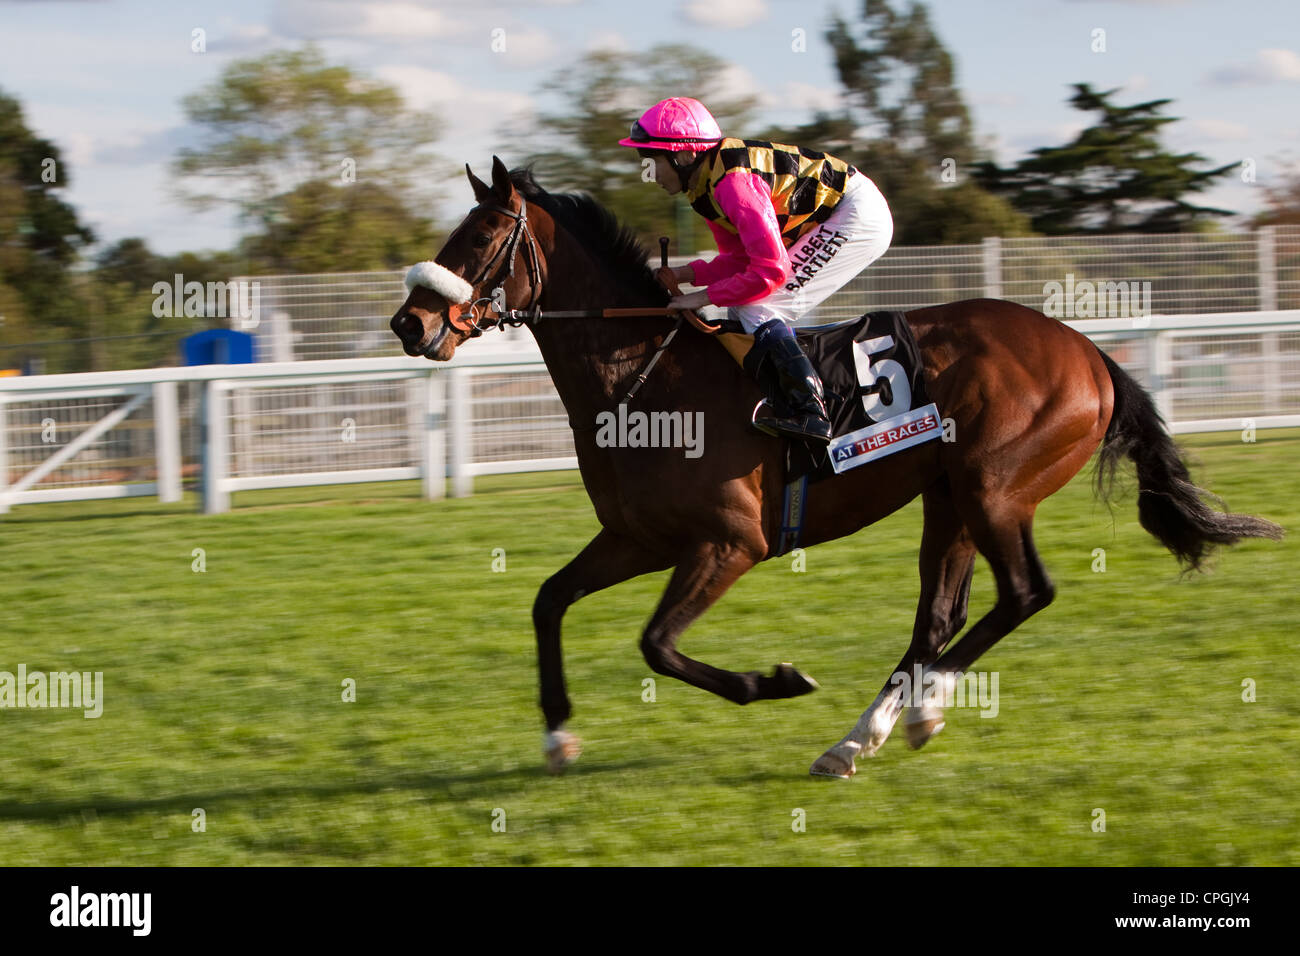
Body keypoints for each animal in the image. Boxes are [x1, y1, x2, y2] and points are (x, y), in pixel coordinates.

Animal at [390, 156, 1283, 778]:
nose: (409, 322)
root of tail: (1090, 352)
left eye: (480, 238)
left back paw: (916, 714)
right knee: (939, 617)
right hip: (949, 496)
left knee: (1025, 593)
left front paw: (775, 681)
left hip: (995, 488)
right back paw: (861, 739)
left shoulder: (731, 543)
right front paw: (557, 736)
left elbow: (656, 645)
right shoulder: (640, 538)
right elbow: (548, 601)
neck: (643, 376)